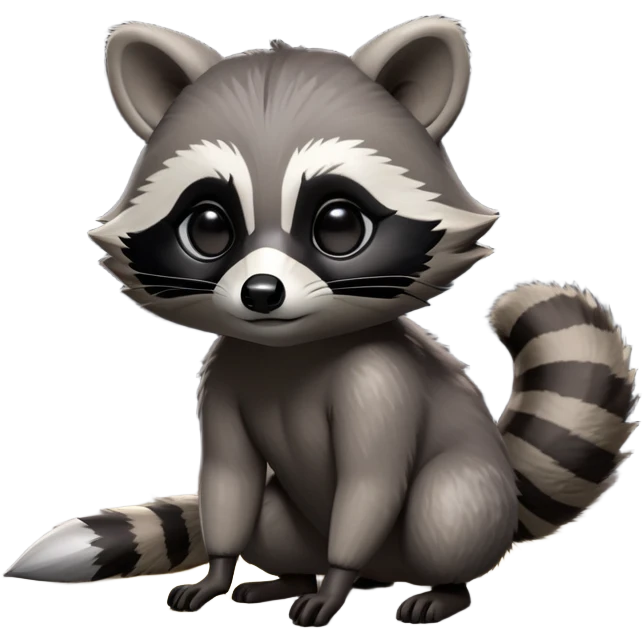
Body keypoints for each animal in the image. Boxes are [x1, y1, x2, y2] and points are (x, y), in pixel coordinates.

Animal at [5, 17, 637, 628]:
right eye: (208, 227)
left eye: (338, 224)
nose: (261, 293)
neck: (290, 350)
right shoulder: (225, 371)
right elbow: (229, 477)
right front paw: (218, 572)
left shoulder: (379, 380)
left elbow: (371, 482)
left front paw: (334, 581)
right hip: (295, 517)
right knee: (267, 517)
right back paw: (288, 580)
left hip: (467, 498)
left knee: (446, 506)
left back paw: (437, 590)